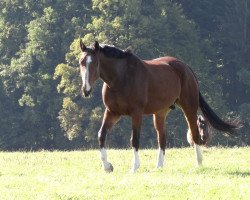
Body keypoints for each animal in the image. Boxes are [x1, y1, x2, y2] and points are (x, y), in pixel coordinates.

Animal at [78, 39, 240, 173]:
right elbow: (101, 135)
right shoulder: (112, 112)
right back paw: (159, 166)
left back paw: (199, 164)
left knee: (194, 134)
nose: (86, 90)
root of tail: (186, 67)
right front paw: (107, 166)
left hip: (189, 106)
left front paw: (134, 167)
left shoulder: (136, 113)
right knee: (162, 137)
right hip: (160, 113)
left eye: (95, 63)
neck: (121, 78)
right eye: (81, 62)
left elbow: (134, 139)